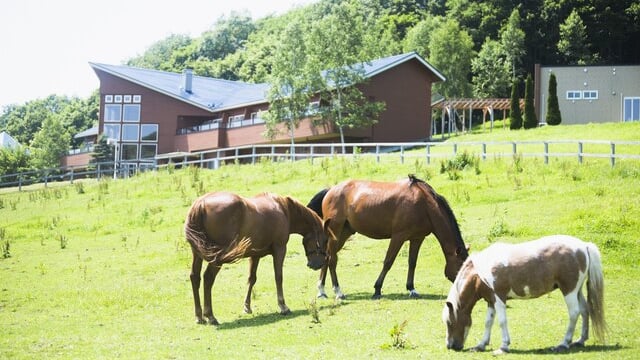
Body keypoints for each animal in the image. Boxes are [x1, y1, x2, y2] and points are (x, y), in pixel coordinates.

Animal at [184, 191, 328, 326]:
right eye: (325, 241)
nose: (317, 265)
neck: (283, 209)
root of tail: (200, 204)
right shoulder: (280, 249)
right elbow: (278, 277)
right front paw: (283, 306)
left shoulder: (255, 255)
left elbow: (251, 279)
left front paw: (247, 307)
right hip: (216, 258)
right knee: (208, 278)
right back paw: (210, 316)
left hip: (197, 254)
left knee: (195, 277)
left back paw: (199, 316)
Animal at [308, 176, 468, 300]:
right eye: (462, 267)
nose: (464, 291)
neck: (424, 204)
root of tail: (331, 190)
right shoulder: (398, 236)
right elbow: (388, 262)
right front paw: (377, 289)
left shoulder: (417, 238)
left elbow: (412, 263)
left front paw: (411, 289)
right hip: (336, 232)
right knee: (332, 259)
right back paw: (338, 292)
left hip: (344, 233)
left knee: (328, 257)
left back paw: (321, 291)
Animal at [442, 233, 608, 354]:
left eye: (449, 322)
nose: (450, 346)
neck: (480, 273)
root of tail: (583, 246)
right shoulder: (491, 301)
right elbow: (488, 322)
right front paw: (481, 345)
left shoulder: (499, 298)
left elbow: (502, 321)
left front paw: (503, 347)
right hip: (576, 291)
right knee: (585, 310)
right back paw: (580, 340)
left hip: (569, 291)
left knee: (574, 313)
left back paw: (563, 344)